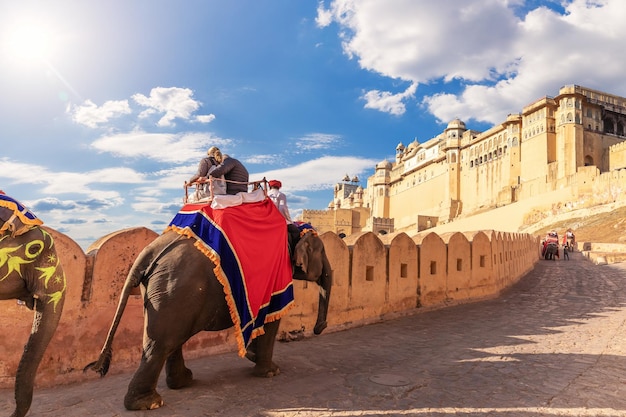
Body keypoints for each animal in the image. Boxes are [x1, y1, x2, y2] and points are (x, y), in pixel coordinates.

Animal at [86, 228, 332, 410]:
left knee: (167, 340)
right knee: (162, 342)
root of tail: (148, 252)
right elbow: (272, 319)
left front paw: (253, 357)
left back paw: (182, 383)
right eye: (322, 254)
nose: (319, 328)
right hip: (176, 288)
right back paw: (150, 404)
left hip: (162, 292)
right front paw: (271, 372)